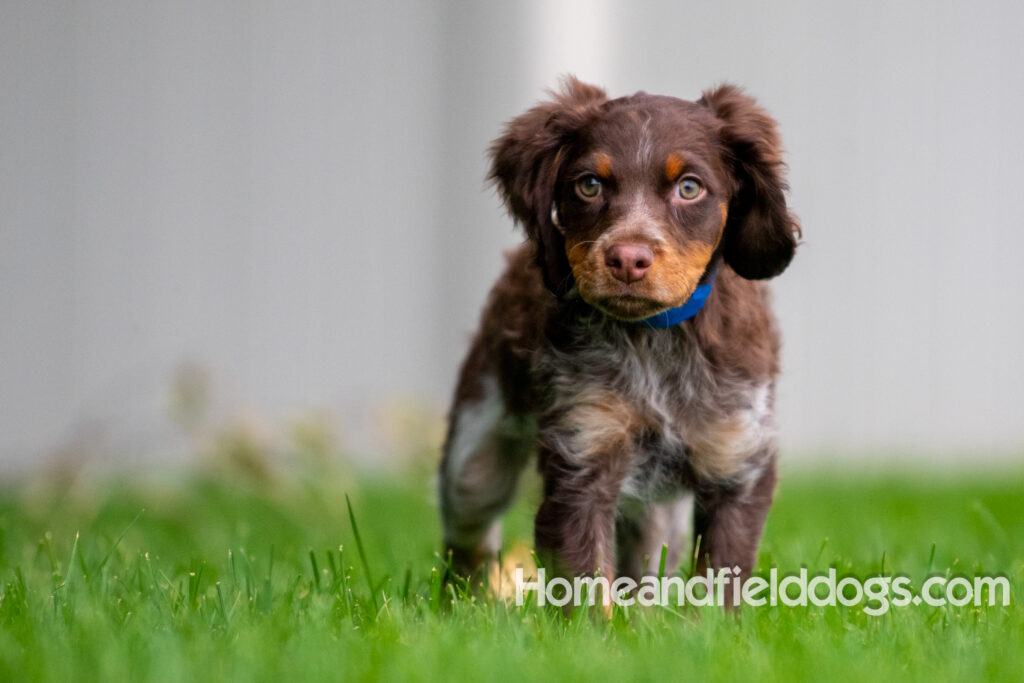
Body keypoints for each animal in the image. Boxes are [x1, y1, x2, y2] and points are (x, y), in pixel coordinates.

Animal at [440, 77, 798, 602]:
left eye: (689, 187)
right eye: (589, 185)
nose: (628, 258)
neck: (657, 337)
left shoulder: (738, 459)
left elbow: (717, 587)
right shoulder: (582, 452)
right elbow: (587, 588)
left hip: (659, 511)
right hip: (476, 451)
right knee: (468, 538)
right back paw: (461, 607)